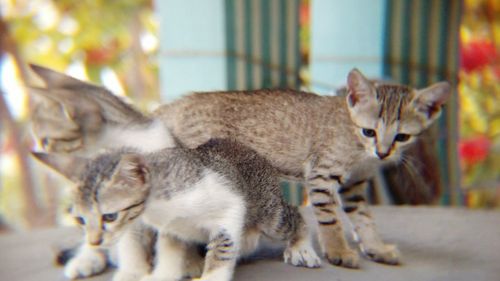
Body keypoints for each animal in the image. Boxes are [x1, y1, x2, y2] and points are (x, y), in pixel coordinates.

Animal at [33, 138, 320, 280]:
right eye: (81, 220)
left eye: (110, 216)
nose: (94, 239)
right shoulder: (170, 229)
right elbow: (169, 253)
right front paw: (159, 275)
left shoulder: (230, 207)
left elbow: (221, 253)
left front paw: (210, 277)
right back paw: (86, 259)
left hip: (268, 213)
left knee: (294, 216)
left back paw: (301, 248)